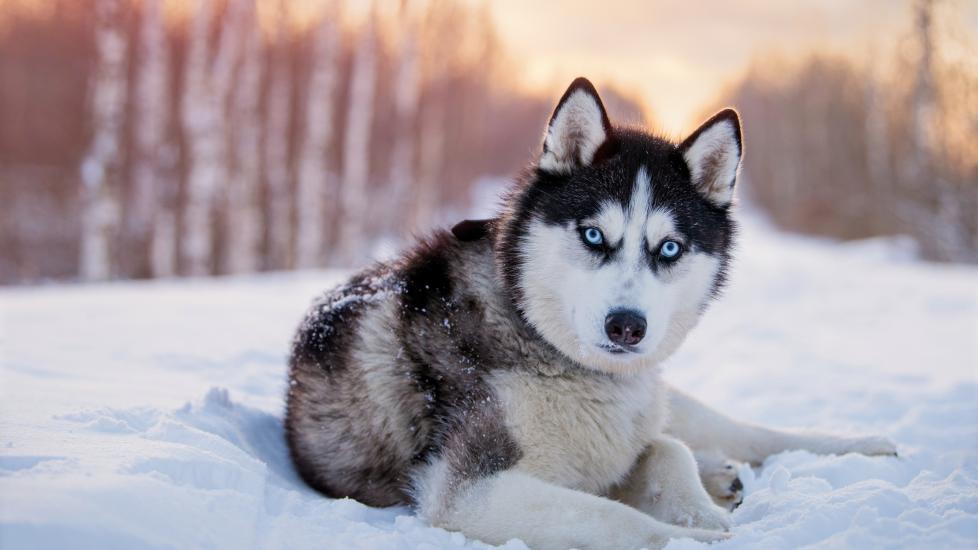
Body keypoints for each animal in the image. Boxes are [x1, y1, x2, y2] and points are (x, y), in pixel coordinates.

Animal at [282, 78, 892, 550]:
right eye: (594, 235)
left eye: (669, 248)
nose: (626, 326)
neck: (541, 340)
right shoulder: (467, 491)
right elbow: (625, 519)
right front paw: (698, 531)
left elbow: (666, 450)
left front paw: (700, 505)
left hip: (668, 396)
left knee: (742, 431)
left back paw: (857, 446)